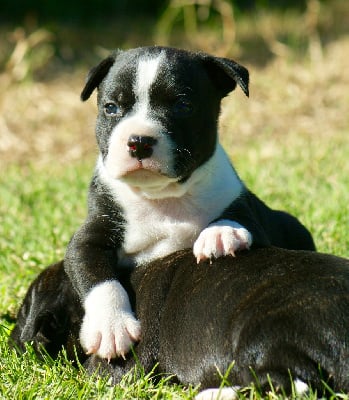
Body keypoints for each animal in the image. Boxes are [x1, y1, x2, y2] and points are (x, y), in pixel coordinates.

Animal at [63, 47, 316, 362]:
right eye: (111, 108)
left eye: (183, 105)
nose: (139, 141)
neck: (163, 197)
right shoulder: (88, 239)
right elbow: (98, 278)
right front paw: (111, 327)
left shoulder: (249, 212)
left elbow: (238, 218)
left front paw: (220, 234)